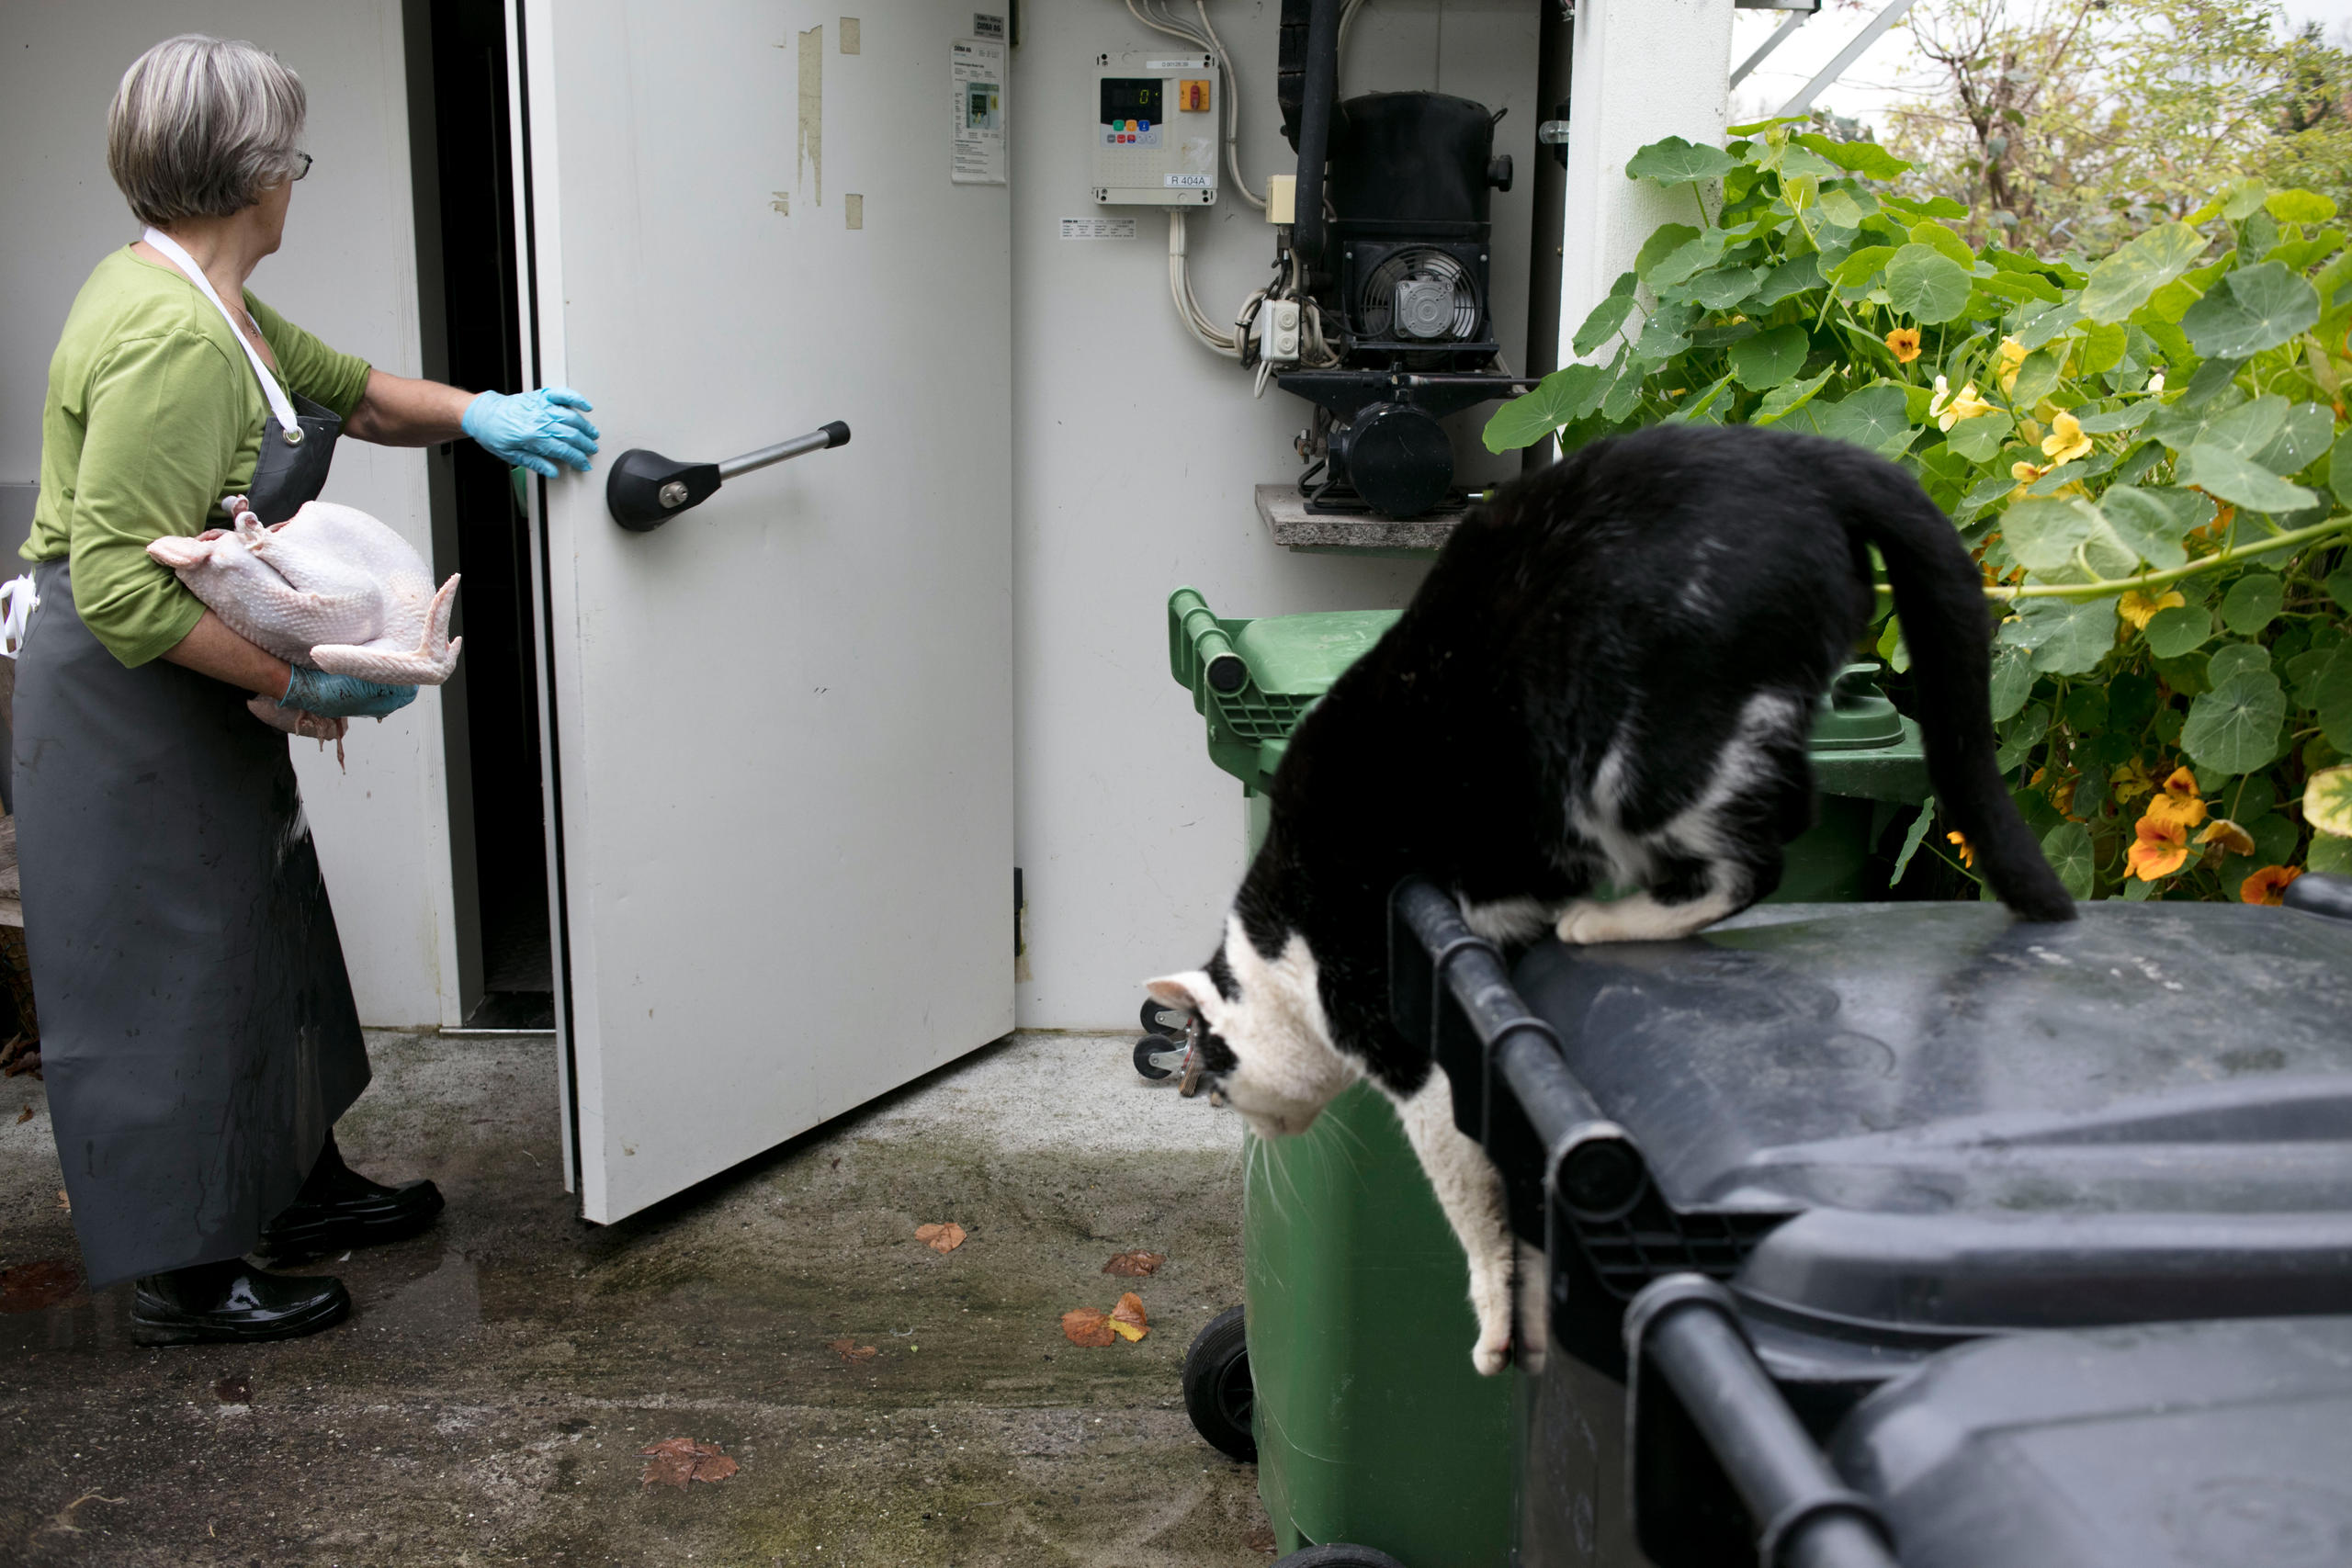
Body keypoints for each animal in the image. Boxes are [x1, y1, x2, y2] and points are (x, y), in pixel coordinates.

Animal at [1148, 423, 2069, 1363]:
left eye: (1205, 1063)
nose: (1204, 1098)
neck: (1283, 952)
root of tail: (1798, 454)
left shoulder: (1407, 1049)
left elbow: (1472, 1200)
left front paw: (1497, 1319)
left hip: (1644, 758)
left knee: (1765, 844)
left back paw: (1611, 919)